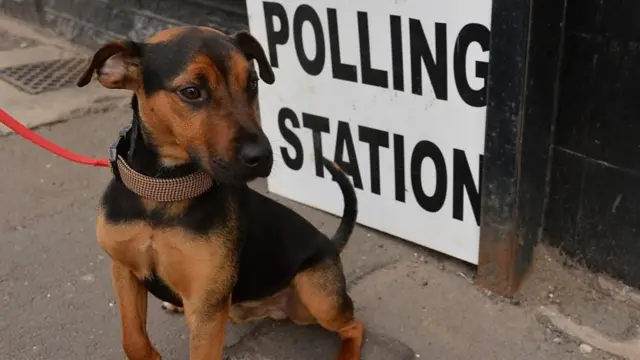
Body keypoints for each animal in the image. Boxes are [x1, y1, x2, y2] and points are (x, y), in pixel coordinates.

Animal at [75, 26, 364, 360]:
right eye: (191, 92)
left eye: (252, 83)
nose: (262, 156)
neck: (164, 193)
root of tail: (331, 245)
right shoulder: (124, 272)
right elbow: (133, 340)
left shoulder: (206, 309)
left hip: (316, 296)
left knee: (354, 326)